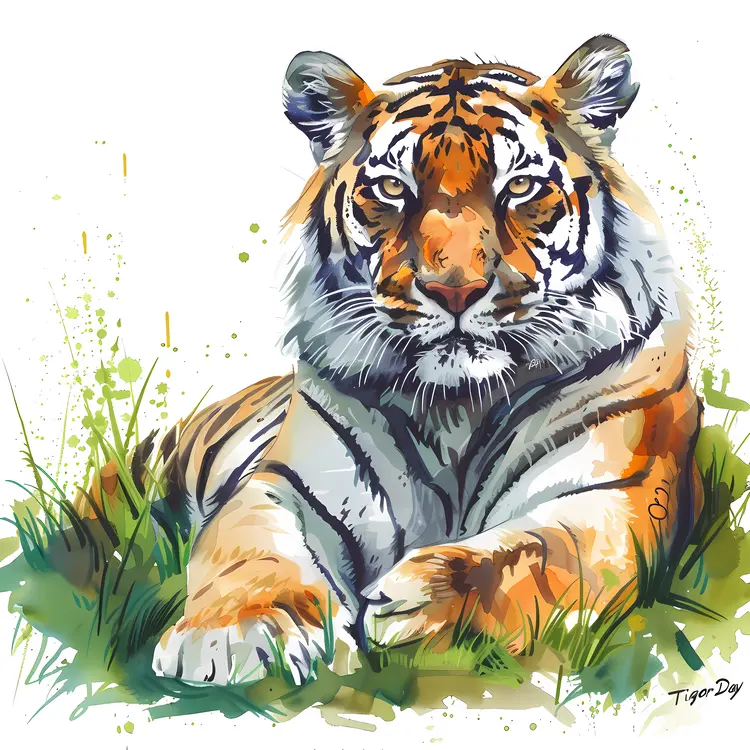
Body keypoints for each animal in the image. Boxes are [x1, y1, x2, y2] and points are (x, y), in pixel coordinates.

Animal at [146, 35, 702, 685]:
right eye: (393, 190)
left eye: (520, 188)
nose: (454, 289)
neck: (458, 406)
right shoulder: (283, 482)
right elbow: (252, 546)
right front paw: (233, 631)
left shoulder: (619, 494)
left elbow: (539, 555)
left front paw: (425, 608)